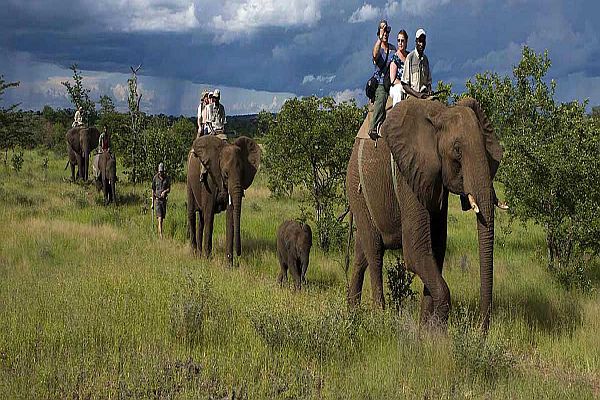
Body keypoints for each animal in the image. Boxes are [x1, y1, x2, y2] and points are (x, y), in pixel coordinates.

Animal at [186, 136, 262, 264]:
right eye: (226, 174)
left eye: (242, 173)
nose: (239, 253)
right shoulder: (210, 180)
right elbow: (209, 215)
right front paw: (208, 260)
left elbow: (230, 217)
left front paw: (229, 264)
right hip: (189, 181)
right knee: (192, 214)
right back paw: (195, 254)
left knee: (201, 219)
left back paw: (200, 254)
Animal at [344, 97, 504, 332]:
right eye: (457, 150)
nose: (481, 333)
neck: (440, 114)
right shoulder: (408, 172)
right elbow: (416, 251)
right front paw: (436, 334)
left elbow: (436, 249)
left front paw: (427, 331)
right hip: (356, 187)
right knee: (374, 252)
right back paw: (378, 315)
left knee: (361, 252)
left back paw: (353, 312)